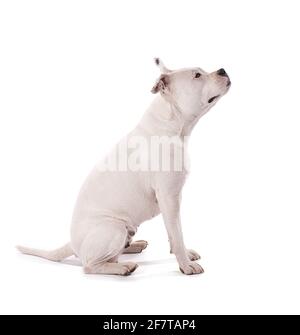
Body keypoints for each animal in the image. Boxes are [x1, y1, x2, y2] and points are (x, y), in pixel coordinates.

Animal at [17, 59, 231, 276]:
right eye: (197, 75)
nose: (223, 70)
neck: (172, 125)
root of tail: (72, 243)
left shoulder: (174, 198)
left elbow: (174, 232)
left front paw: (186, 255)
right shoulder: (168, 198)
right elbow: (177, 234)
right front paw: (186, 265)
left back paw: (134, 246)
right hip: (114, 228)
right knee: (90, 265)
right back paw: (123, 267)